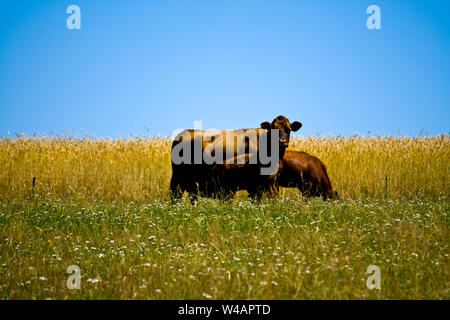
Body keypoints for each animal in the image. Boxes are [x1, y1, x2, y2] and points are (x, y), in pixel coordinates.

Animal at [169, 115, 302, 202]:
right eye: (273, 129)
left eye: (289, 129)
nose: (282, 141)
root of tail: (183, 134)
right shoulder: (254, 183)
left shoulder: (272, 181)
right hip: (177, 177)